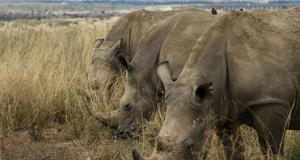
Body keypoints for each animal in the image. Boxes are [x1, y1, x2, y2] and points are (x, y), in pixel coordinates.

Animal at [133, 6, 300, 159]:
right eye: (156, 139)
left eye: (189, 146)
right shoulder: (221, 108)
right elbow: (233, 150)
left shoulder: (272, 101)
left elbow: (272, 150)